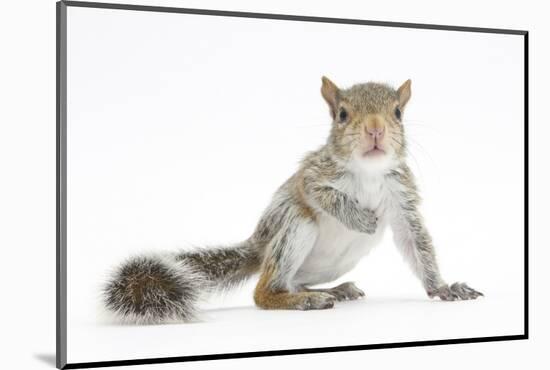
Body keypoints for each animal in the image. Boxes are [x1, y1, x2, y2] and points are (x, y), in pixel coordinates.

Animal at [102, 77, 484, 324]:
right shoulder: (312, 176)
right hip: (295, 227)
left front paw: (444, 288)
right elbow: (324, 195)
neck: (368, 172)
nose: (375, 129)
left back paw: (333, 291)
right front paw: (361, 219)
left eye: (397, 112)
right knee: (263, 292)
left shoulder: (402, 197)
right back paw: (306, 301)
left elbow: (416, 244)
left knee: (292, 280)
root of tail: (260, 247)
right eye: (342, 114)